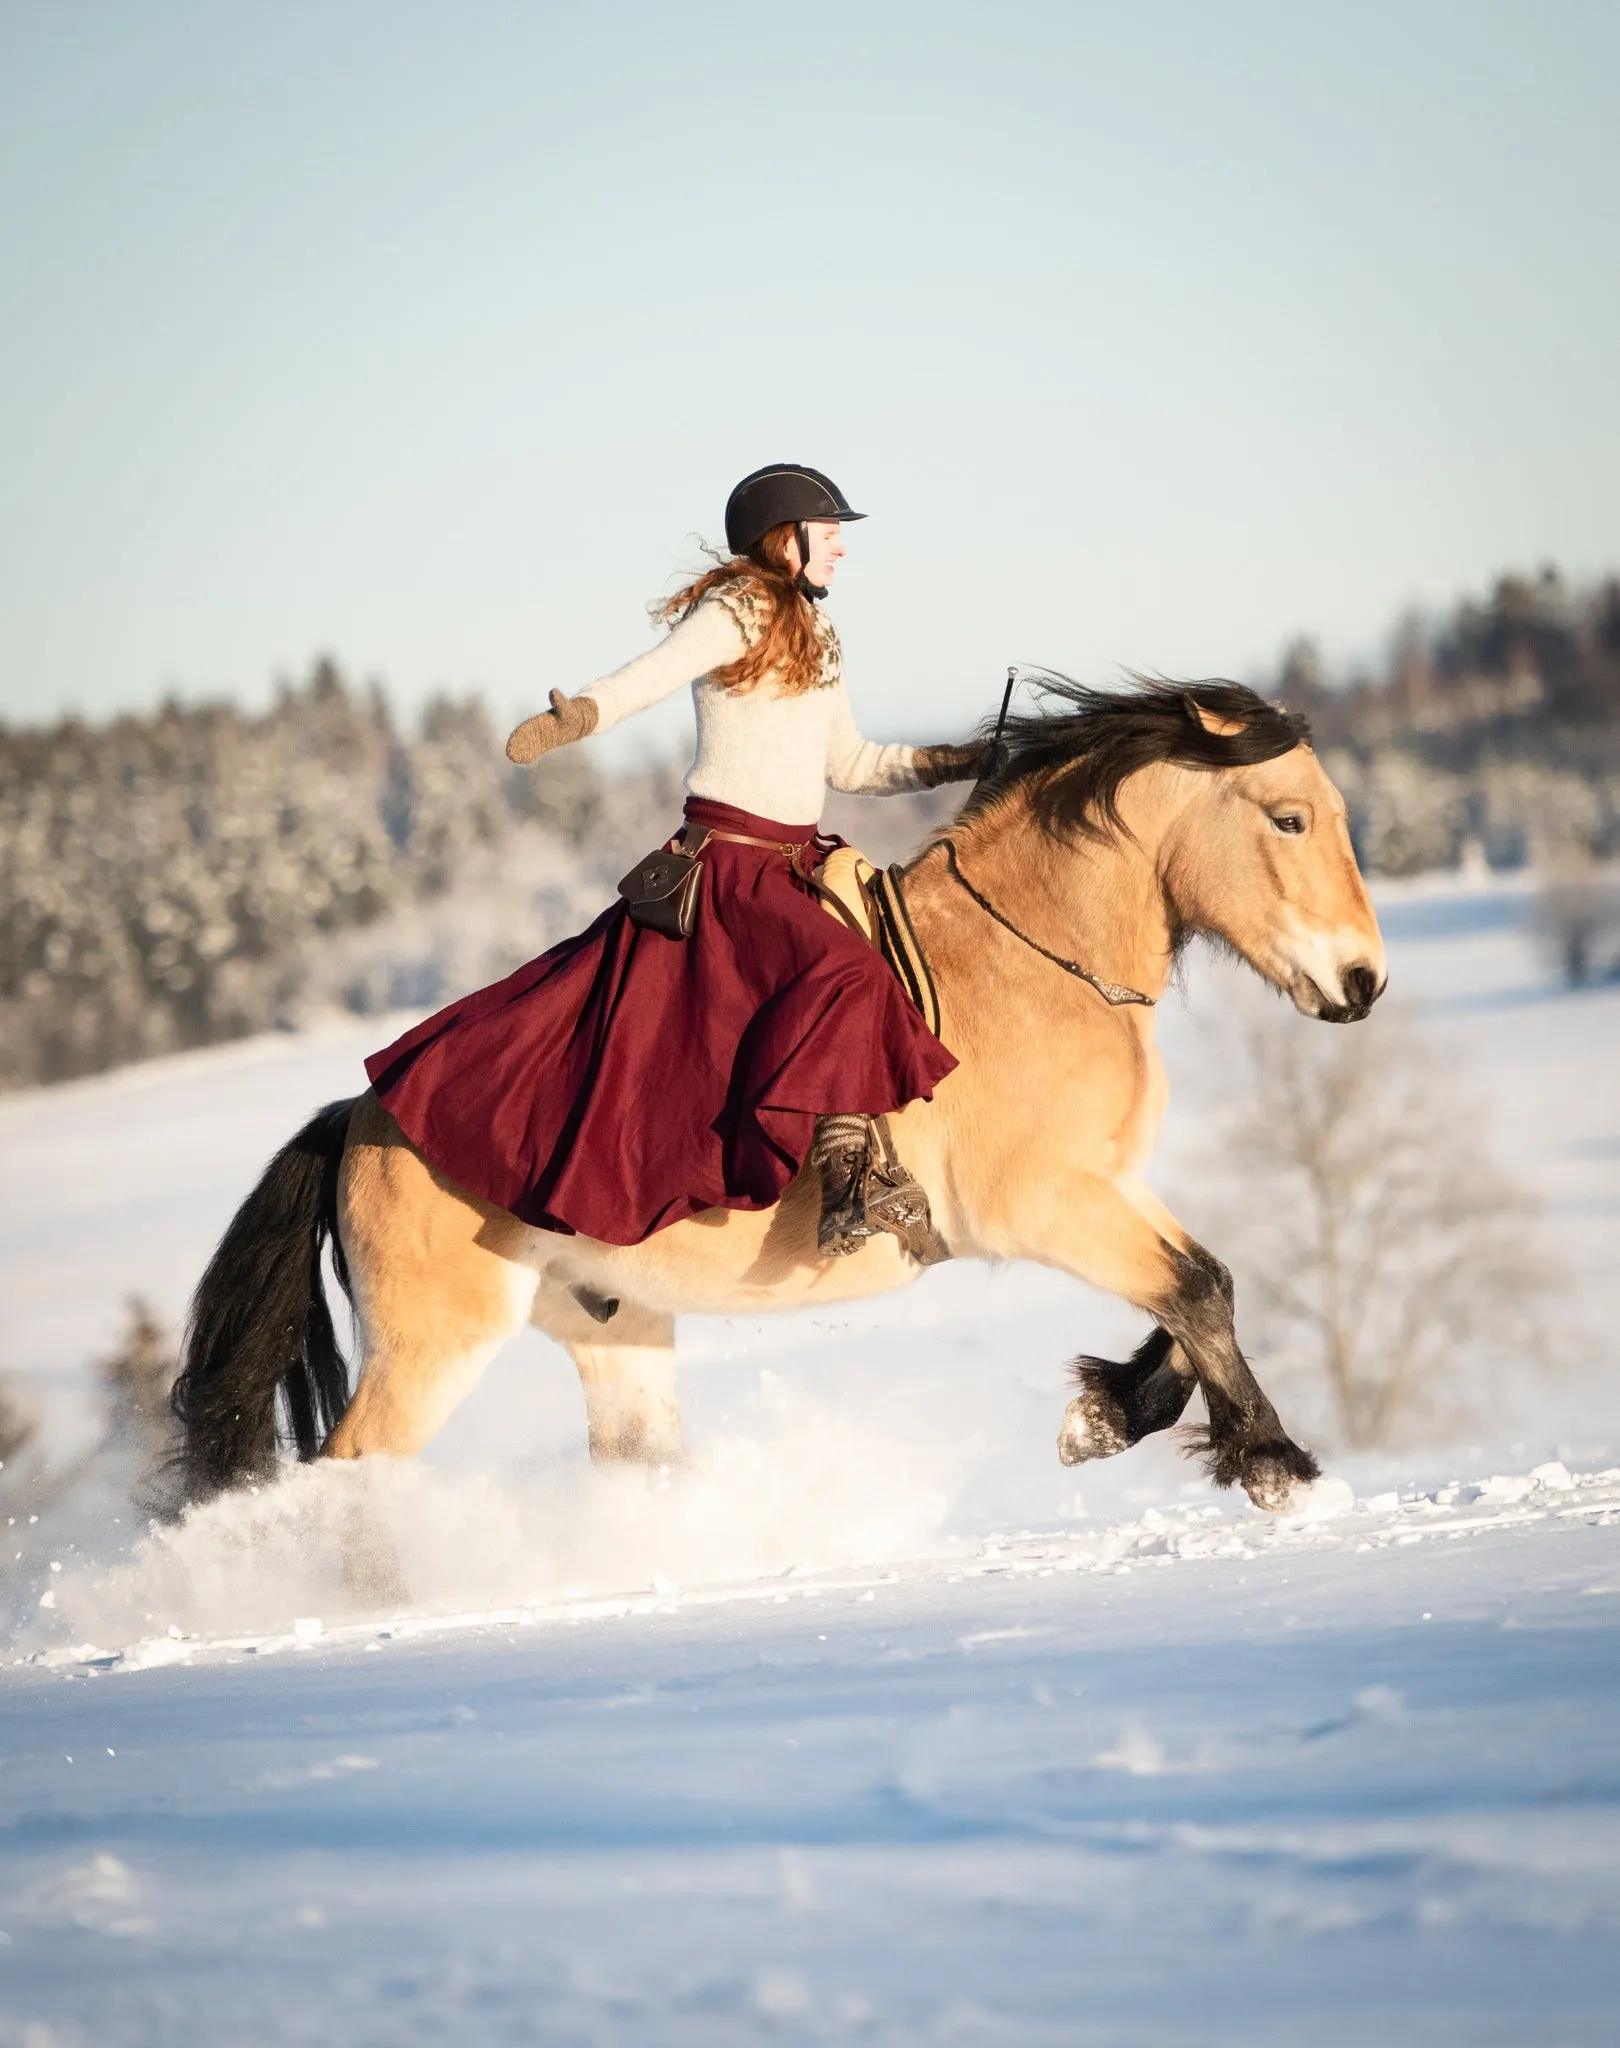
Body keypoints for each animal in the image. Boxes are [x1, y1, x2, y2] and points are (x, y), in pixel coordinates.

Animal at [174, 679, 1392, 1531]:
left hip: (614, 1331)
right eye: (1290, 819)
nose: (1364, 982)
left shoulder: (1107, 1188)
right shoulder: (1043, 1204)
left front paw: (1104, 1417)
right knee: (348, 1475)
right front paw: (1276, 1465)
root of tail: (364, 1112)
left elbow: (1207, 1284)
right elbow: (1198, 1289)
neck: (1033, 955)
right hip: (432, 1346)